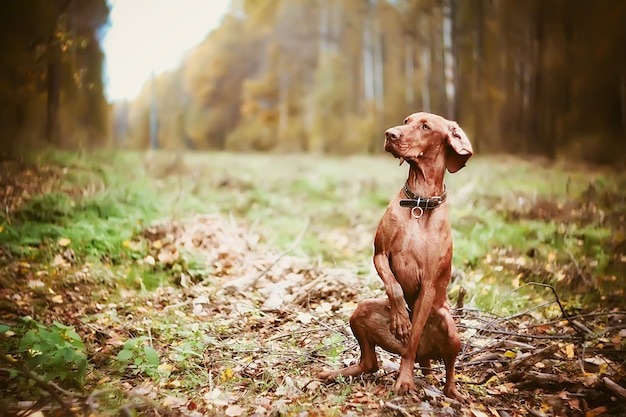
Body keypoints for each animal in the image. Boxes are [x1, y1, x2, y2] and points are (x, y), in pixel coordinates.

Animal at [320, 111, 470, 400]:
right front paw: (401, 317)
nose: (390, 134)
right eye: (406, 120)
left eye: (425, 127)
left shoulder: (430, 285)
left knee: (445, 366)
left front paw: (404, 379)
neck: (420, 204)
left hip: (447, 324)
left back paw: (451, 391)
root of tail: (427, 356)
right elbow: (394, 286)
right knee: (370, 362)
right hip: (362, 310)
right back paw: (335, 373)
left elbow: (412, 339)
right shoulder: (380, 254)